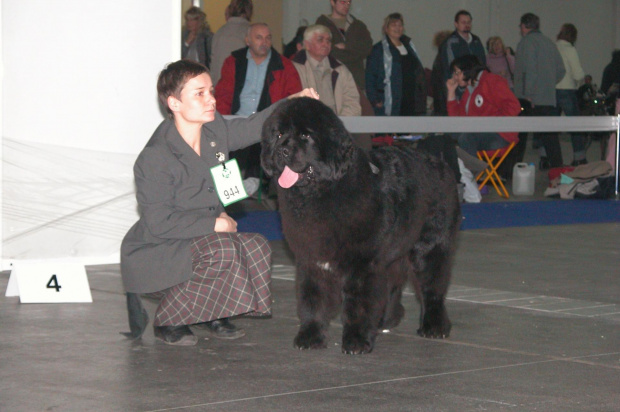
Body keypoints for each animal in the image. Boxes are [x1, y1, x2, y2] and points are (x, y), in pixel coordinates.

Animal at [262, 97, 460, 354]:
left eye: (306, 136)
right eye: (279, 134)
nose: (282, 150)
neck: (324, 192)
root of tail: (441, 163)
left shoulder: (362, 263)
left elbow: (359, 303)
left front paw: (356, 340)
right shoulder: (311, 260)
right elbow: (313, 299)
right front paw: (310, 336)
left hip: (430, 246)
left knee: (432, 287)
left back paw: (434, 326)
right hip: (394, 251)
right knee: (393, 284)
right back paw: (387, 319)